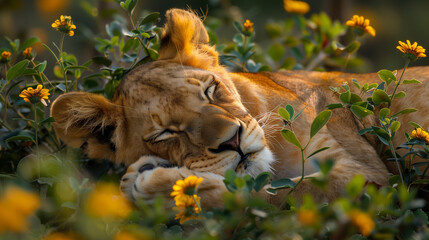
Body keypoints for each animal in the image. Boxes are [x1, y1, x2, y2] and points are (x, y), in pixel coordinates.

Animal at [51, 8, 428, 208]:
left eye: (210, 90)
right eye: (165, 133)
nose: (232, 141)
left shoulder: (368, 178)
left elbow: (270, 194)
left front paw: (150, 185)